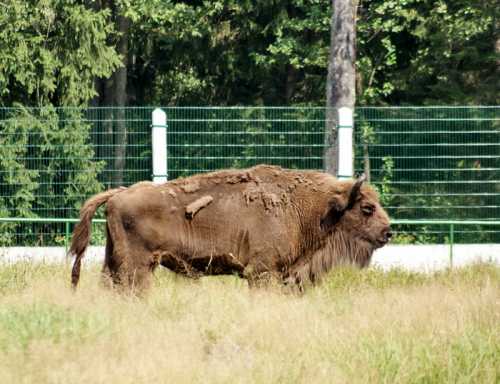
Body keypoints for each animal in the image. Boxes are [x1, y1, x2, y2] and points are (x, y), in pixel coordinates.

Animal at [70, 165, 390, 292]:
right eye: (367, 207)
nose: (388, 232)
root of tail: (119, 194)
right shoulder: (262, 273)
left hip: (113, 260)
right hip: (138, 267)